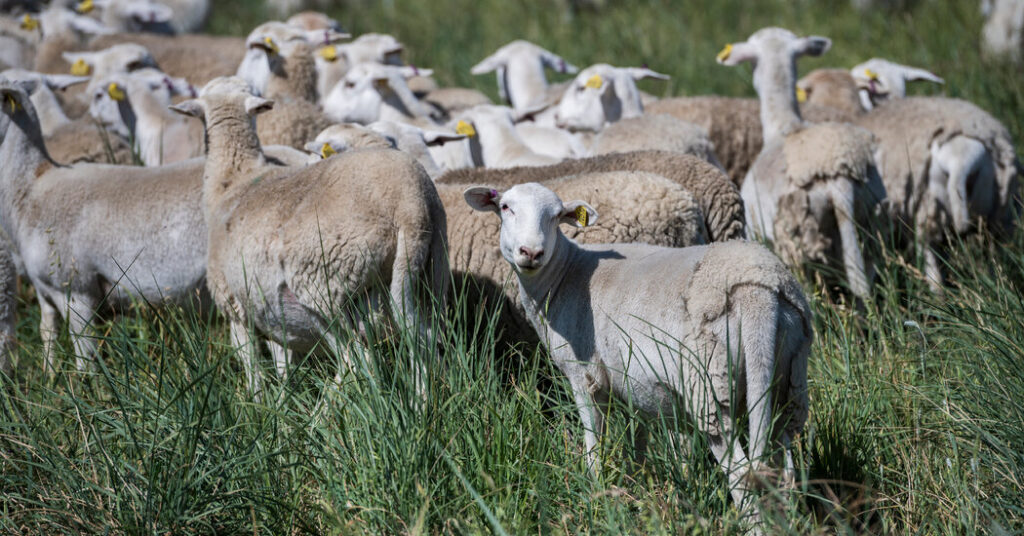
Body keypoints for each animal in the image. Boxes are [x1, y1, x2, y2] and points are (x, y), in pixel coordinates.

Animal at [169, 75, 450, 391]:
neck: (233, 180)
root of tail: (409, 206)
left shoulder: (234, 307)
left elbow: (253, 368)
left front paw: (259, 401)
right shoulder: (272, 313)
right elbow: (284, 366)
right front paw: (283, 399)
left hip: (325, 289)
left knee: (356, 361)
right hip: (430, 278)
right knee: (427, 346)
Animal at [464, 181, 806, 528]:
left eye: (557, 215)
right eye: (506, 207)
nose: (531, 253)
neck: (564, 277)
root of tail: (757, 289)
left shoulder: (583, 375)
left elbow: (594, 442)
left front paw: (596, 496)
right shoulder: (632, 384)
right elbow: (638, 442)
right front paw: (640, 492)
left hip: (710, 386)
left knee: (740, 475)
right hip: (788, 380)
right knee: (786, 470)